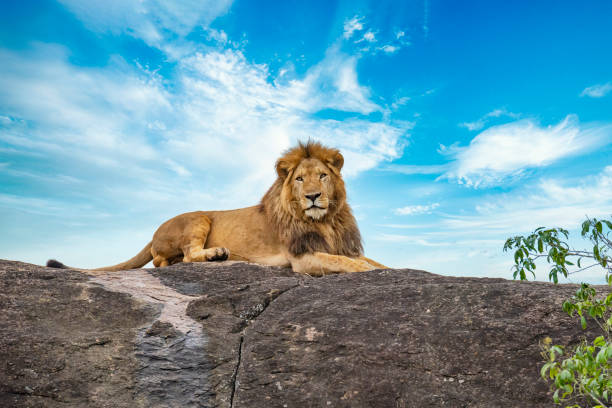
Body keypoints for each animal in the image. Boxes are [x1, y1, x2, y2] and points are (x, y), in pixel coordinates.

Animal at [50, 141, 390, 278]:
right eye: (300, 179)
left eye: (322, 176)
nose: (313, 196)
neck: (325, 221)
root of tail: (153, 233)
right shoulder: (301, 258)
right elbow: (346, 262)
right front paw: (368, 271)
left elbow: (370, 260)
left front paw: (389, 269)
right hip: (198, 218)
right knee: (179, 257)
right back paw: (216, 254)